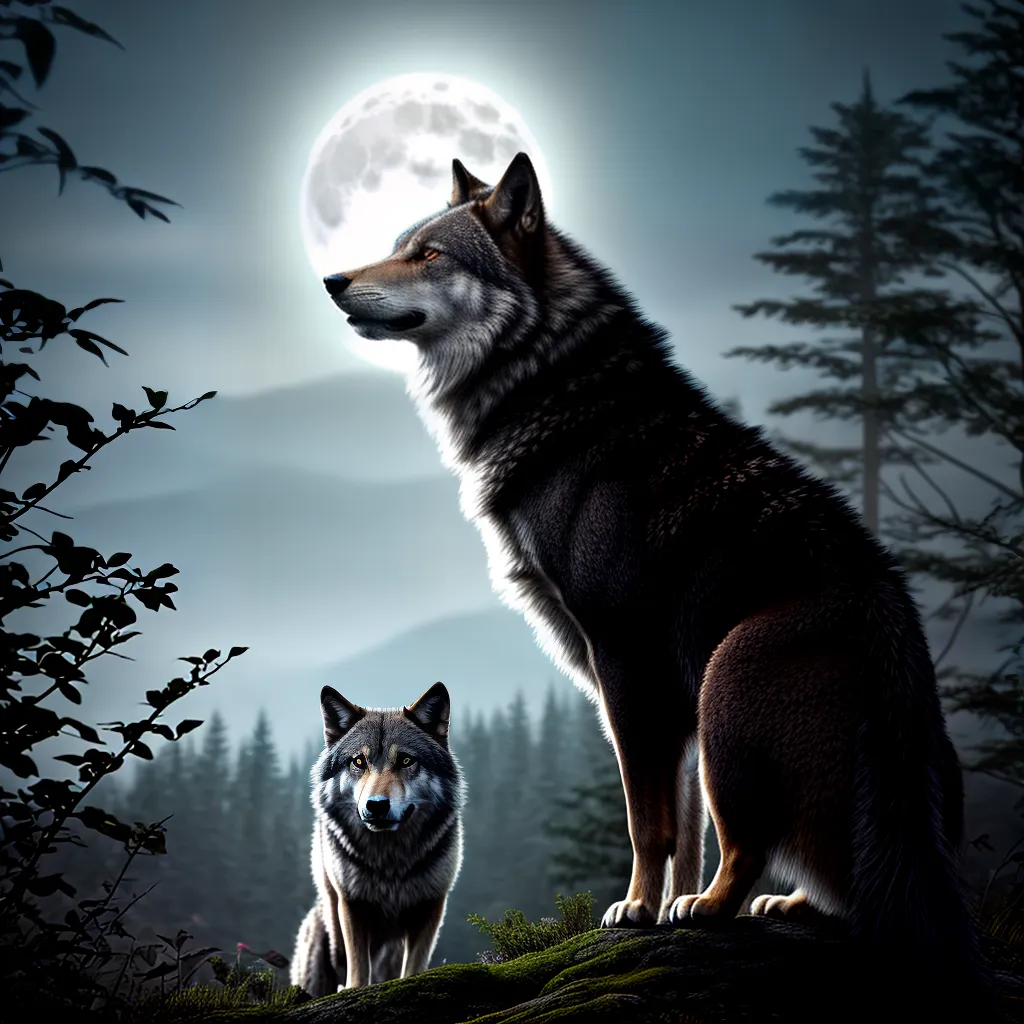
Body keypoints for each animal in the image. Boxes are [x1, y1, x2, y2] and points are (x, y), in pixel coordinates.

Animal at [290, 682, 464, 995]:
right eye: (359, 761)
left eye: (406, 760)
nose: (376, 805)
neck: (390, 862)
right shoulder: (352, 907)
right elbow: (358, 972)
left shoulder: (430, 906)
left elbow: (413, 968)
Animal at [320, 154, 983, 977]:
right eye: (399, 246)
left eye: (429, 254)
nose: (333, 280)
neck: (551, 391)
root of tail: (893, 623)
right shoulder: (668, 700)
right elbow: (683, 828)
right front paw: (662, 908)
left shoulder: (627, 666)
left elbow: (649, 822)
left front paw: (638, 909)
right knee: (839, 877)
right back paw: (782, 905)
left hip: (725, 684)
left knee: (756, 845)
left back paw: (717, 906)